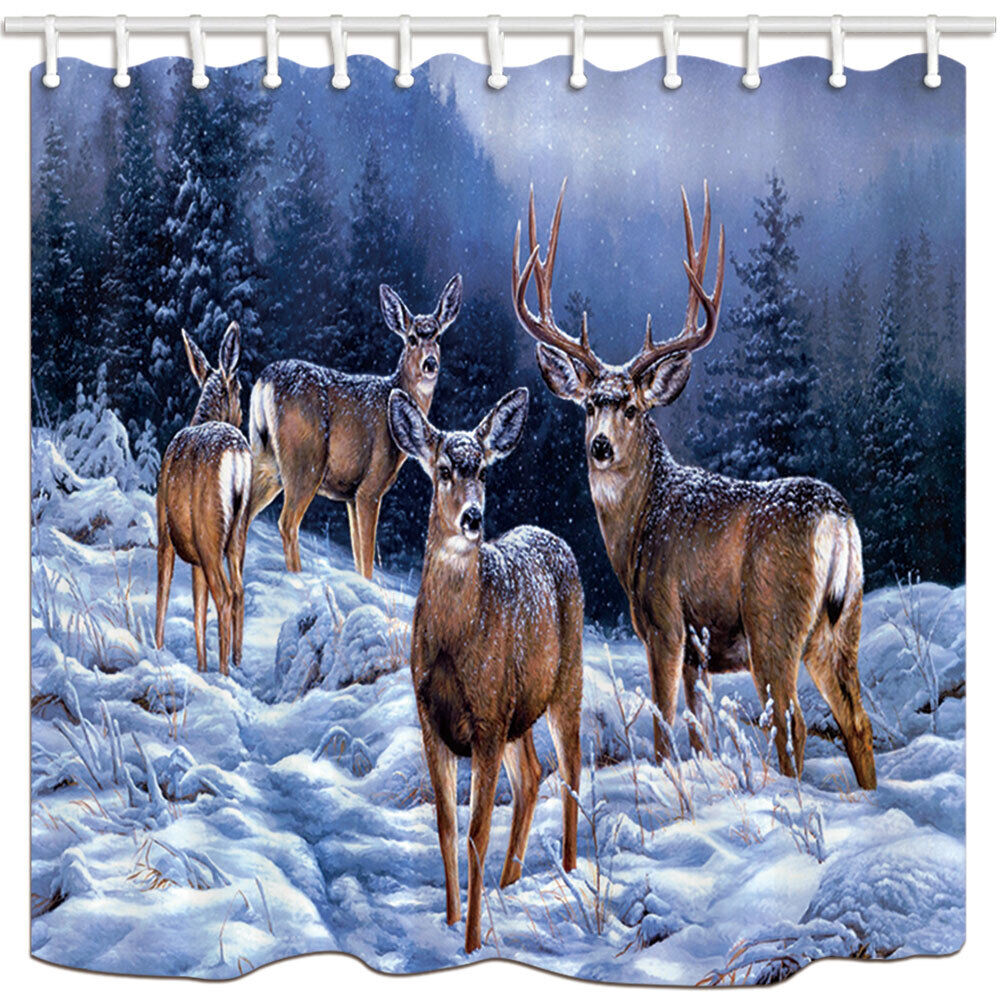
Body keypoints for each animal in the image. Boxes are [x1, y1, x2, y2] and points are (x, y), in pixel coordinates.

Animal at [155, 321, 252, 676]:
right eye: (241, 387)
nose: (242, 416)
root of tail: (236, 455)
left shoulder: (165, 531)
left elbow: (164, 590)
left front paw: (156, 649)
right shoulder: (195, 555)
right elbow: (198, 610)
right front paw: (200, 667)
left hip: (210, 530)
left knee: (224, 594)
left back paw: (225, 673)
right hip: (237, 531)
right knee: (238, 590)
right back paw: (236, 663)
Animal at [247, 276, 462, 577]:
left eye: (439, 337)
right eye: (411, 338)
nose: (430, 363)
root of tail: (264, 382)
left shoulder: (349, 495)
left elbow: (358, 557)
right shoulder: (369, 488)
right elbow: (368, 560)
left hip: (266, 460)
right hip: (305, 460)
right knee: (287, 522)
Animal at [387, 386, 583, 953]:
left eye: (484, 471)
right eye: (444, 469)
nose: (472, 518)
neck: (454, 645)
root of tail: (551, 536)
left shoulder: (487, 720)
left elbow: (476, 835)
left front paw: (472, 943)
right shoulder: (430, 719)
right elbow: (446, 828)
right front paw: (451, 922)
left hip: (565, 682)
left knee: (571, 770)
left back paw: (567, 874)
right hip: (519, 708)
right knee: (533, 776)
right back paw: (508, 883)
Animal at [511, 181, 876, 790]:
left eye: (632, 408)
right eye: (589, 405)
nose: (600, 446)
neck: (641, 524)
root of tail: (838, 518)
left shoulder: (665, 620)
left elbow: (665, 729)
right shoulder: (701, 652)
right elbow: (699, 732)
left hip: (774, 619)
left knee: (793, 722)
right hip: (840, 625)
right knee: (856, 721)